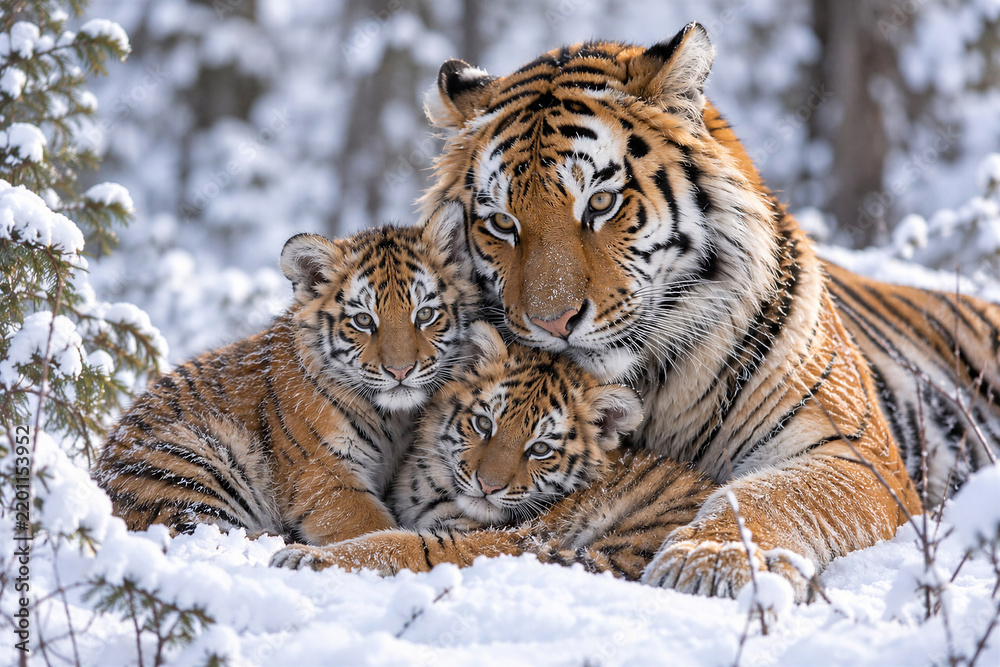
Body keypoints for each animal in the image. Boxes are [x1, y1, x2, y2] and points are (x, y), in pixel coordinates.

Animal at [93, 207, 478, 546]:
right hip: (191, 456)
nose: (400, 371)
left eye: (425, 314)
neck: (394, 419)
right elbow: (370, 527)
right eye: (363, 320)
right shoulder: (323, 478)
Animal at [270, 320, 719, 583]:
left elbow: (397, 544)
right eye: (485, 424)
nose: (487, 486)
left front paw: (301, 557)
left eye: (540, 449)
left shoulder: (502, 540)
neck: (428, 489)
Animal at [408, 22, 999, 602]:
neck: (646, 388)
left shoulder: (855, 453)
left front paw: (708, 560)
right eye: (502, 222)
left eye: (600, 203)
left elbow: (778, 494)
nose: (552, 323)